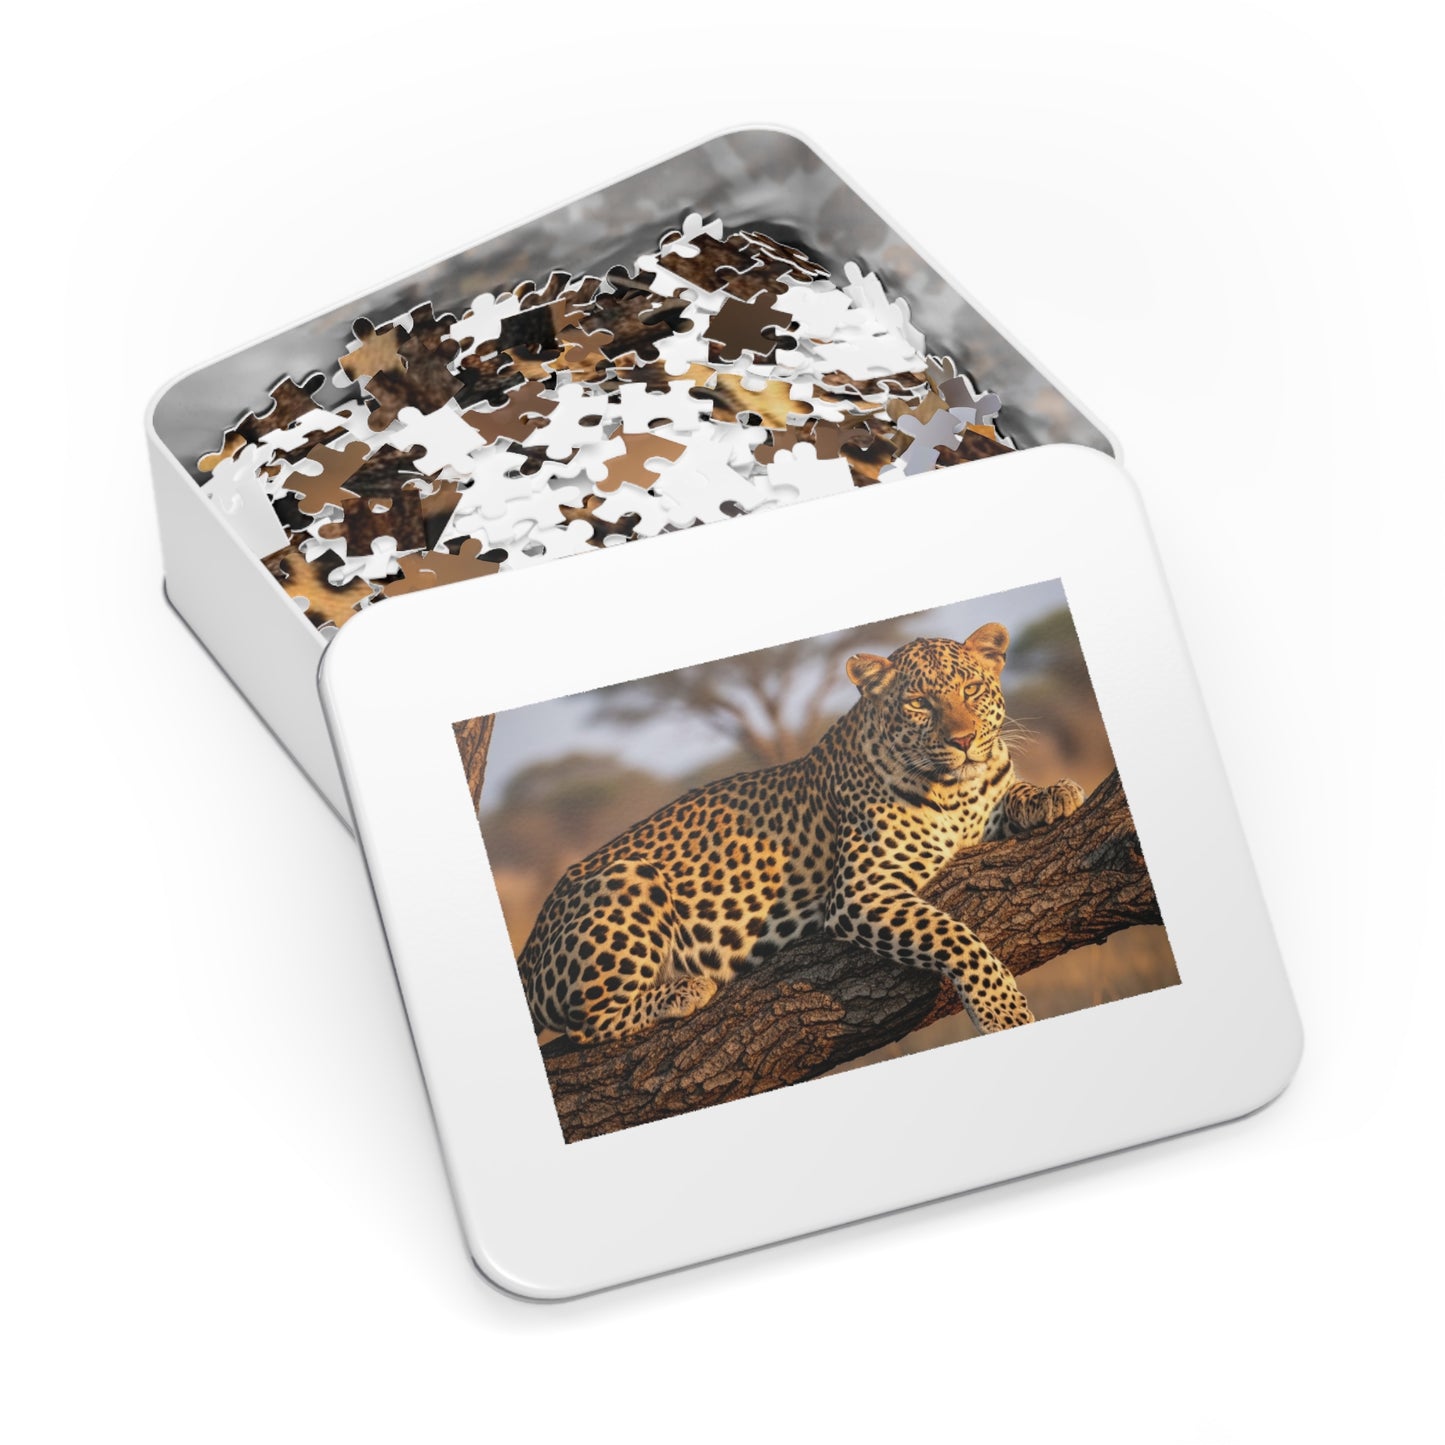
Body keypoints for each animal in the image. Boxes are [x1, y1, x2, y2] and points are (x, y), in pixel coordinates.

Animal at [518, 625, 1086, 1045]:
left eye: (971, 690)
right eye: (920, 703)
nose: (963, 740)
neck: (955, 791)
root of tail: (529, 946)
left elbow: (1012, 794)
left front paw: (1052, 793)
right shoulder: (860, 892)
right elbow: (956, 938)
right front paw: (1003, 1013)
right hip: (628, 877)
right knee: (589, 1023)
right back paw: (681, 991)